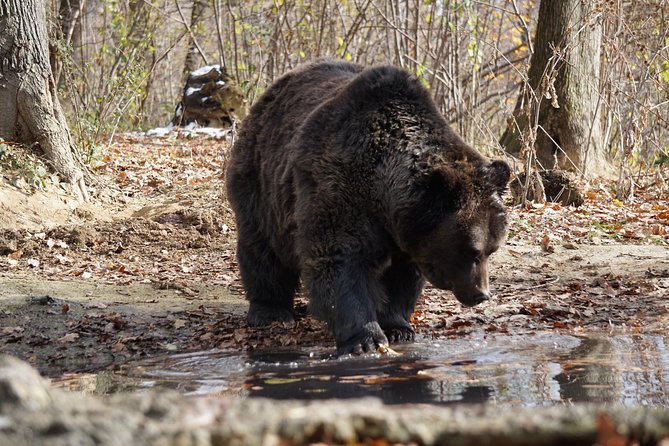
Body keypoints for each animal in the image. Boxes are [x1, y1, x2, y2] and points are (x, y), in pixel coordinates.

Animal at [226, 60, 511, 355]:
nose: (480, 294)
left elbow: (401, 277)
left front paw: (398, 327)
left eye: (492, 249)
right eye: (471, 250)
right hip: (261, 182)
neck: (383, 194)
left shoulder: (407, 236)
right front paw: (365, 339)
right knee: (262, 249)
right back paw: (269, 311)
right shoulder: (340, 189)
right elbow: (339, 261)